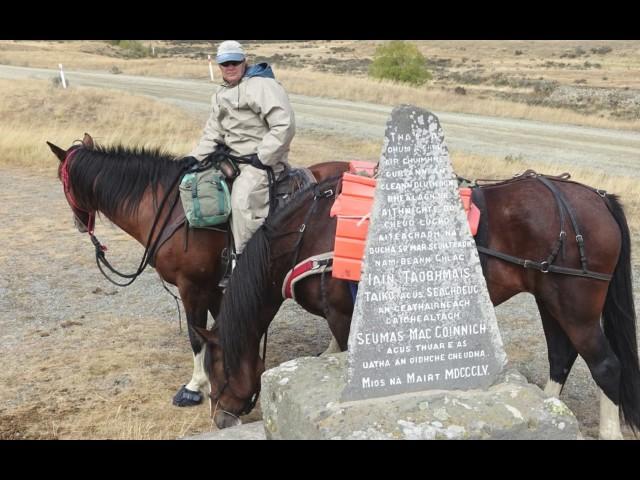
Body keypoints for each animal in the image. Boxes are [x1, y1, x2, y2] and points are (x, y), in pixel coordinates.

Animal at [48, 133, 350, 406]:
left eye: (62, 181)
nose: (78, 223)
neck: (169, 210)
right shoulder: (217, 288)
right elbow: (218, 327)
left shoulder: (192, 286)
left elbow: (196, 335)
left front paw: (194, 386)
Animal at [195, 173, 640, 438]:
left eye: (218, 369)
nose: (220, 417)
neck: (312, 229)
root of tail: (597, 199)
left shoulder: (341, 315)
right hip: (550, 301)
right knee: (561, 356)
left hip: (576, 307)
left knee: (606, 366)